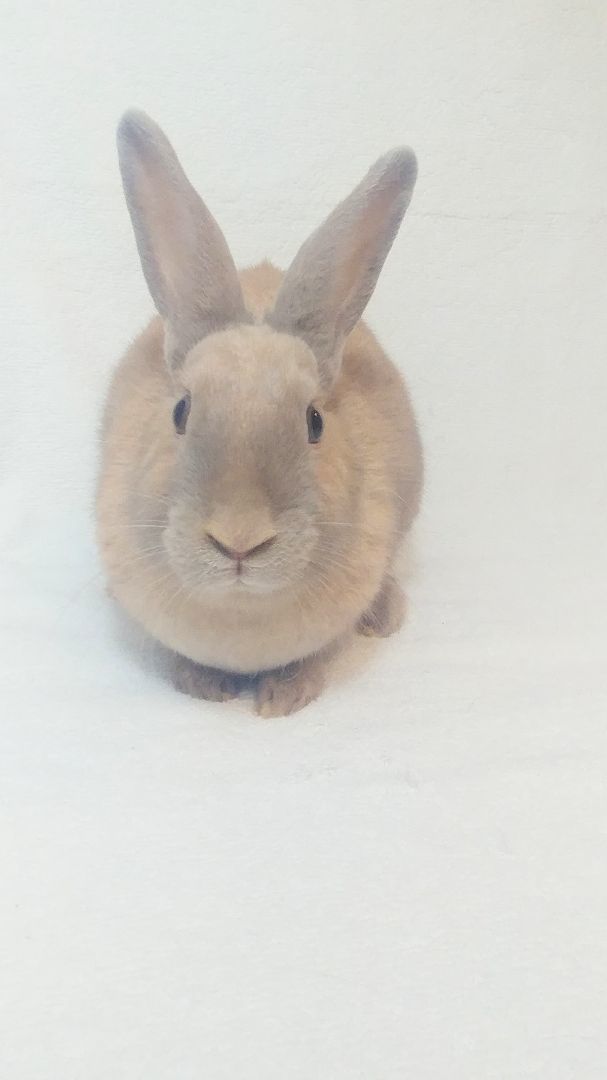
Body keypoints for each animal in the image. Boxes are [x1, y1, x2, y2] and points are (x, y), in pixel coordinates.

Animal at [96, 111, 423, 717]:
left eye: (315, 422)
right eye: (180, 411)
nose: (239, 540)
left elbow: (318, 655)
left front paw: (283, 697)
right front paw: (204, 685)